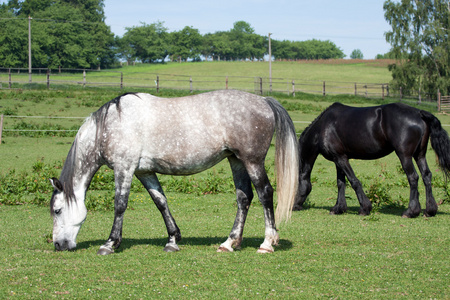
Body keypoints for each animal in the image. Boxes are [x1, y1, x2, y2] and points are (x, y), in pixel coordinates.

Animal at [49, 90, 298, 254]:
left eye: (57, 211)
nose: (58, 245)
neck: (112, 124)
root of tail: (264, 100)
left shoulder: (124, 168)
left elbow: (120, 204)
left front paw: (109, 243)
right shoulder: (144, 172)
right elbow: (161, 201)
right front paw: (172, 239)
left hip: (252, 161)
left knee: (265, 193)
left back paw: (267, 243)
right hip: (236, 160)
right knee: (244, 197)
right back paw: (229, 243)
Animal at [294, 102, 450, 217]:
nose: (293, 206)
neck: (323, 127)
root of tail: (419, 113)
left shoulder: (341, 159)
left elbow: (354, 181)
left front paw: (364, 208)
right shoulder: (339, 159)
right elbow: (340, 183)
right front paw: (338, 208)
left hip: (404, 155)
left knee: (413, 178)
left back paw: (410, 211)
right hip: (420, 155)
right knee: (426, 176)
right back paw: (429, 211)